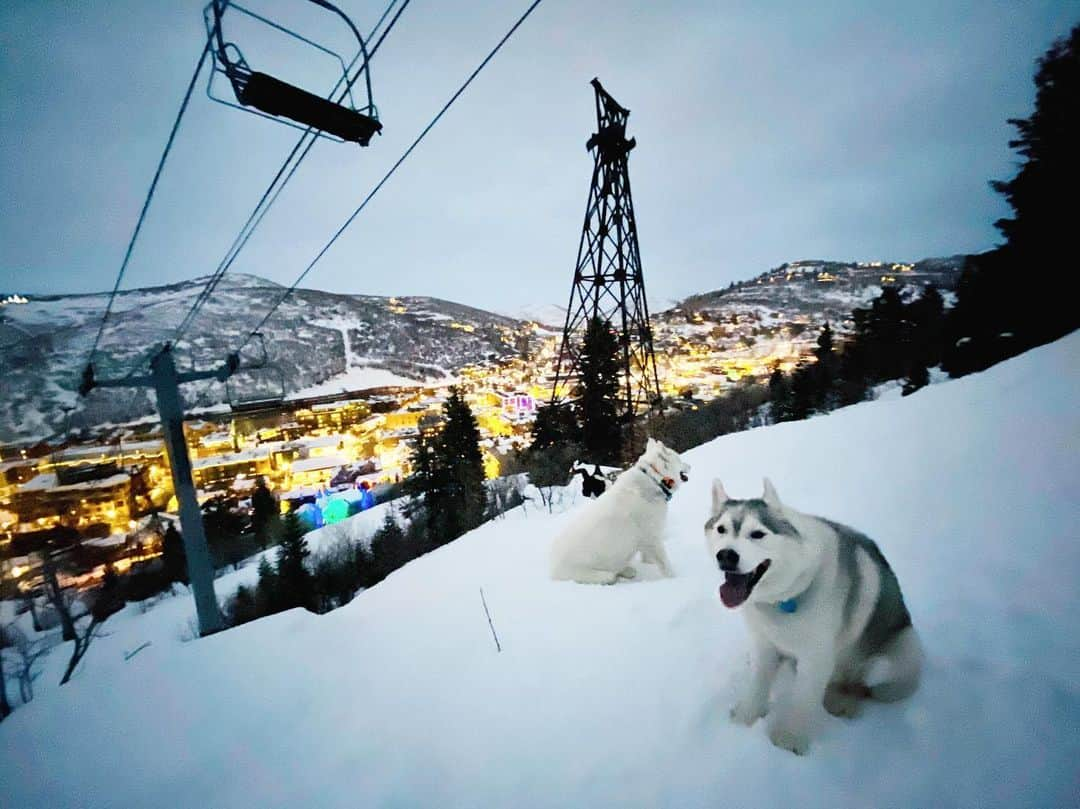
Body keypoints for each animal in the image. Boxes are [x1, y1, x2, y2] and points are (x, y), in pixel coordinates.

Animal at [548, 438, 691, 583]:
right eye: (679, 459)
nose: (690, 466)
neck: (654, 480)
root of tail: (552, 570)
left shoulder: (647, 539)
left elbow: (647, 558)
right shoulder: (652, 537)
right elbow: (665, 564)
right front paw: (675, 579)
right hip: (602, 575)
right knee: (612, 575)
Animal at [704, 477, 924, 756]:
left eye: (758, 534)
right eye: (721, 529)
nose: (726, 555)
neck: (784, 598)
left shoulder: (815, 656)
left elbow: (802, 700)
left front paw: (790, 740)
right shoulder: (764, 644)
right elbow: (758, 683)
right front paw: (746, 717)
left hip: (894, 654)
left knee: (863, 685)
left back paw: (842, 703)